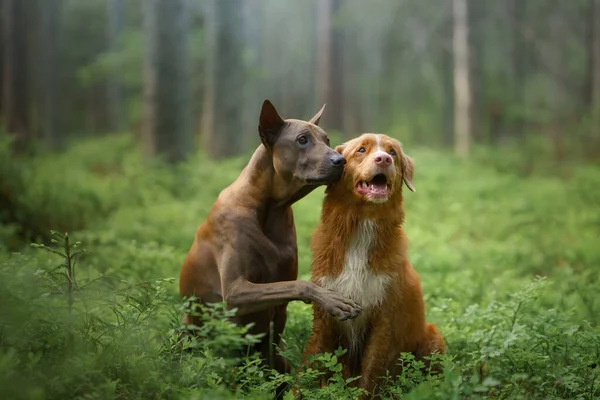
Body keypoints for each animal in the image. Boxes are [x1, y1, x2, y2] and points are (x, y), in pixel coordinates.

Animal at [179, 101, 360, 376]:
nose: (341, 160)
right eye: (302, 140)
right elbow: (300, 284)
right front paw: (332, 299)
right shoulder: (235, 291)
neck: (269, 210)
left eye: (326, 139)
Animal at [302, 134, 442, 396]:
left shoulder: (384, 320)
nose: (384, 159)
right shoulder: (325, 313)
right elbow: (308, 368)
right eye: (361, 150)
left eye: (393, 152)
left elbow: (371, 373)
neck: (363, 226)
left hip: (433, 339)